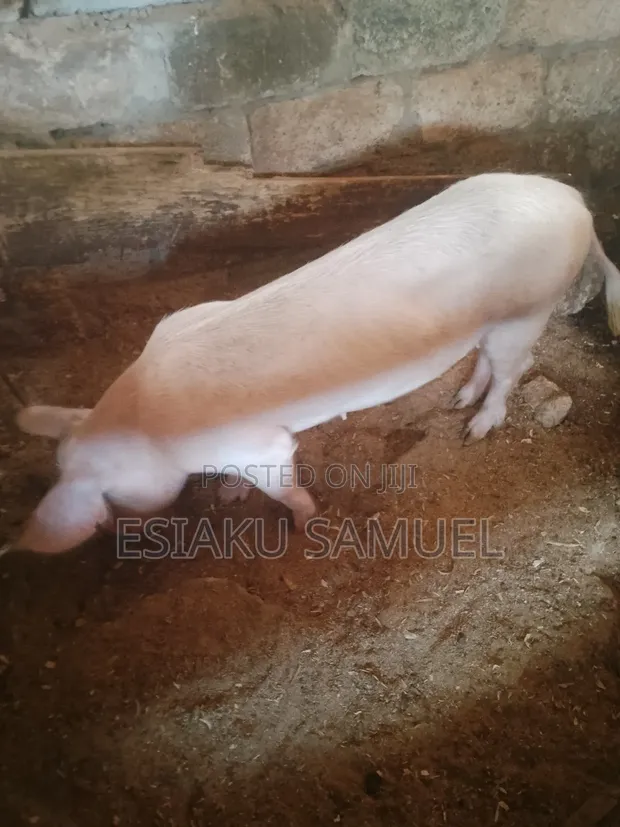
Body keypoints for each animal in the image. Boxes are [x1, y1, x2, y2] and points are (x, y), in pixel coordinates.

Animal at [12, 172, 620, 555]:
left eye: (111, 498)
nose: (122, 535)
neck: (146, 423)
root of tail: (578, 204)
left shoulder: (262, 446)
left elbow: (283, 484)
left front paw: (304, 524)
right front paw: (230, 495)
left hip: (530, 308)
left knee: (516, 367)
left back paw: (476, 429)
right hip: (493, 321)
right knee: (488, 363)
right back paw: (458, 401)